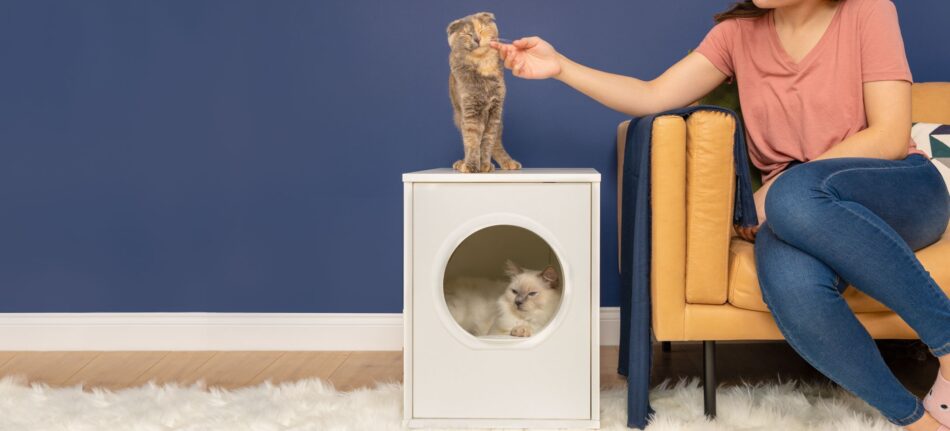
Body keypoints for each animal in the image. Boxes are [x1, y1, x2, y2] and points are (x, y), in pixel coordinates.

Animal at [446, 12, 520, 174]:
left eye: (482, 28)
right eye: (467, 33)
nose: (477, 38)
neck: (483, 66)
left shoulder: (495, 111)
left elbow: (487, 141)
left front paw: (485, 165)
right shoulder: (470, 111)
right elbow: (472, 141)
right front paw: (470, 165)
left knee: (497, 143)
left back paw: (508, 163)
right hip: (459, 116)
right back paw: (462, 163)